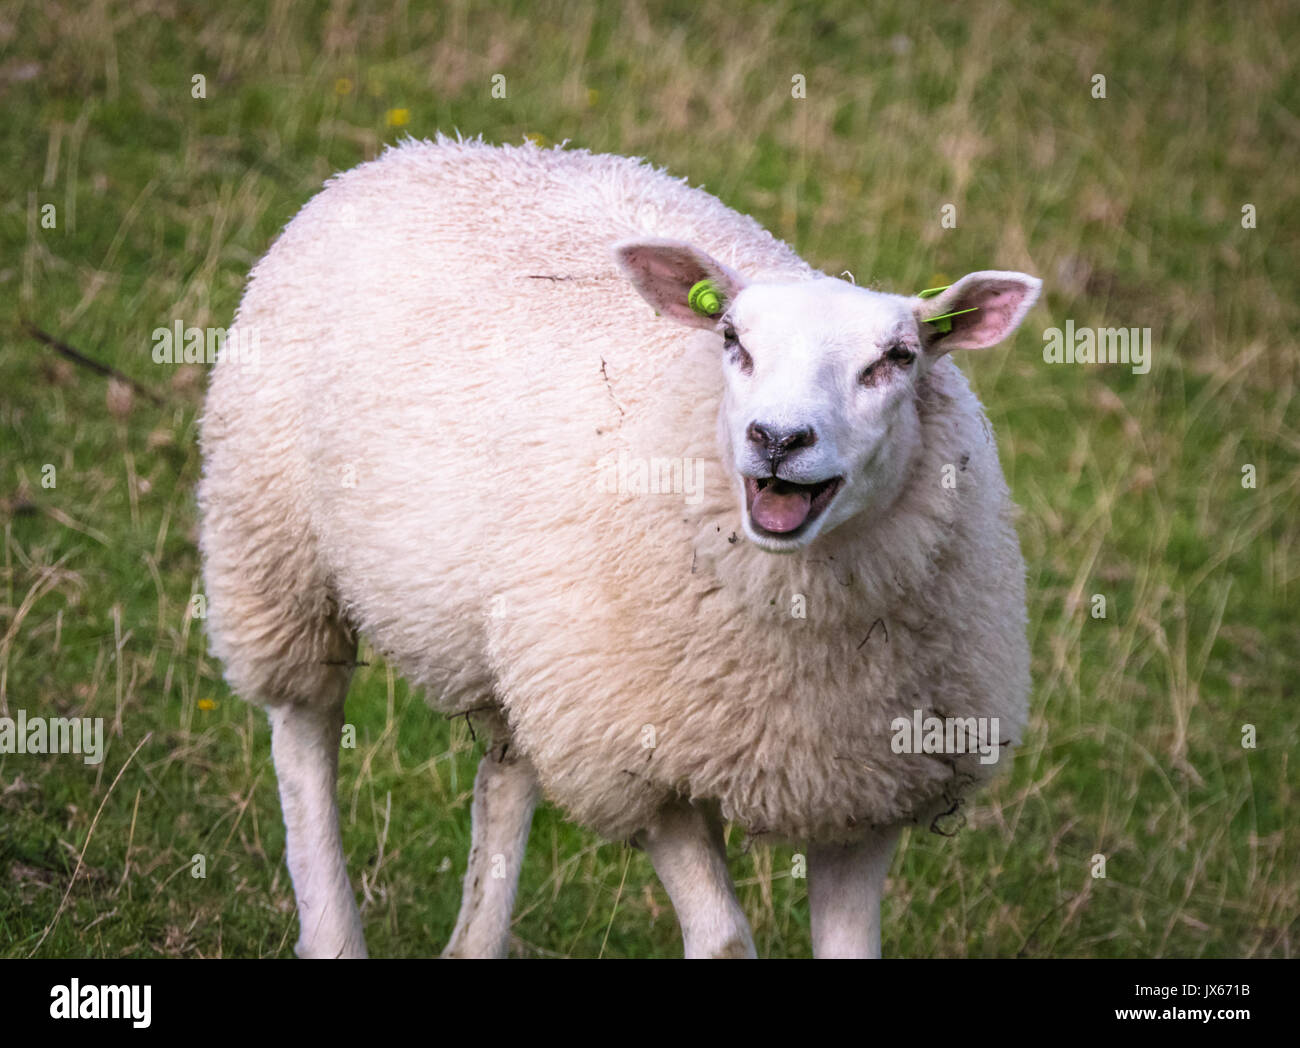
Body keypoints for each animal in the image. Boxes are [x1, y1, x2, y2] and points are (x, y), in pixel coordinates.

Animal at [197, 133, 1040, 962]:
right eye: (732, 340)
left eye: (897, 359)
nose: (777, 438)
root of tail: (434, 145)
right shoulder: (642, 765)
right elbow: (724, 941)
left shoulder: (865, 790)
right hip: (271, 541)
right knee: (304, 727)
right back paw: (331, 930)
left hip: (527, 645)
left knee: (506, 772)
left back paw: (474, 943)